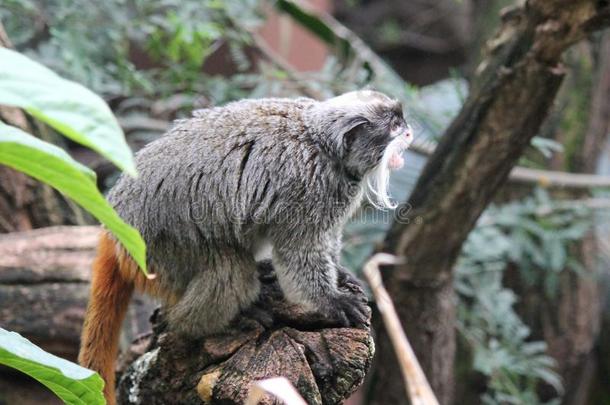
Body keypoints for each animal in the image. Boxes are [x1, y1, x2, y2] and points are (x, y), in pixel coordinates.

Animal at [76, 90, 408, 402]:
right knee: (229, 271)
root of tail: (114, 222)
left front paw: (338, 274)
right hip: (153, 247)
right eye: (394, 126)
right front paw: (331, 301)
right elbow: (297, 252)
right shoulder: (310, 187)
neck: (326, 149)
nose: (408, 133)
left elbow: (325, 239)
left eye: (401, 121)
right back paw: (209, 322)